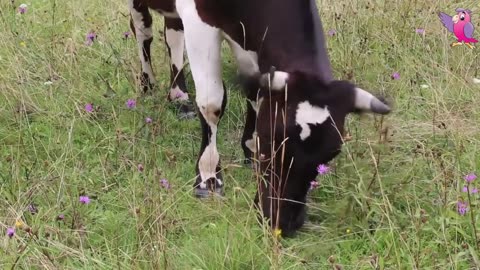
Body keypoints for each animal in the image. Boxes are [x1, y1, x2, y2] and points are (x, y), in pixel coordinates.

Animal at [129, 0, 392, 236]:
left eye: (329, 155)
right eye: (271, 140)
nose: (282, 223)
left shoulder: (248, 36)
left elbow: (255, 91)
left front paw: (249, 151)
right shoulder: (199, 20)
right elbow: (211, 103)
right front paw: (208, 177)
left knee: (173, 33)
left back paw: (179, 96)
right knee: (142, 27)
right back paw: (148, 82)